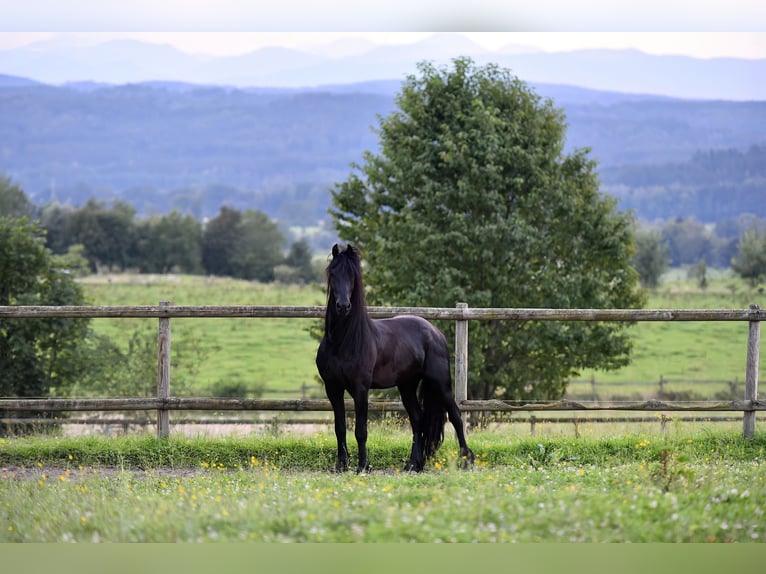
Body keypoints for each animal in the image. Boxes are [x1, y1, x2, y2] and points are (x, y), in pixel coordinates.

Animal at [314, 245, 474, 474]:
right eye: (333, 273)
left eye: (352, 275)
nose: (343, 306)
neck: (342, 343)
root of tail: (436, 333)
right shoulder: (333, 388)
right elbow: (340, 428)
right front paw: (341, 465)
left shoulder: (361, 389)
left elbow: (361, 430)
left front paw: (363, 466)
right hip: (407, 386)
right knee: (418, 420)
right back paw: (414, 464)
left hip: (440, 382)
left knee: (455, 416)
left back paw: (466, 460)